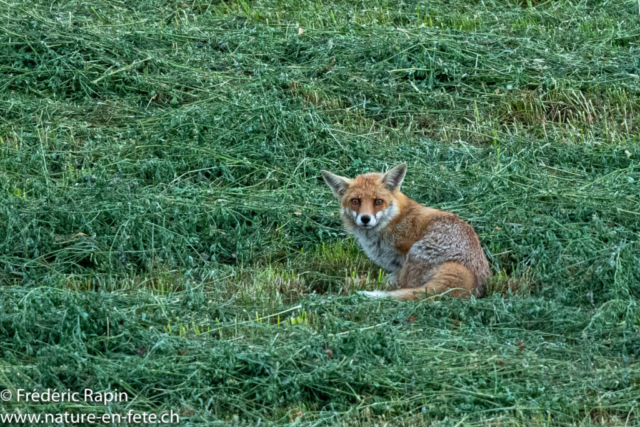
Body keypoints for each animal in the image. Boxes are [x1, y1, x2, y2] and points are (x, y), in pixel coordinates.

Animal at [320, 163, 490, 300]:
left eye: (378, 201)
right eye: (355, 201)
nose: (365, 218)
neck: (393, 220)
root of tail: (472, 279)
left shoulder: (403, 256)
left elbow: (396, 283)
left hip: (415, 253)